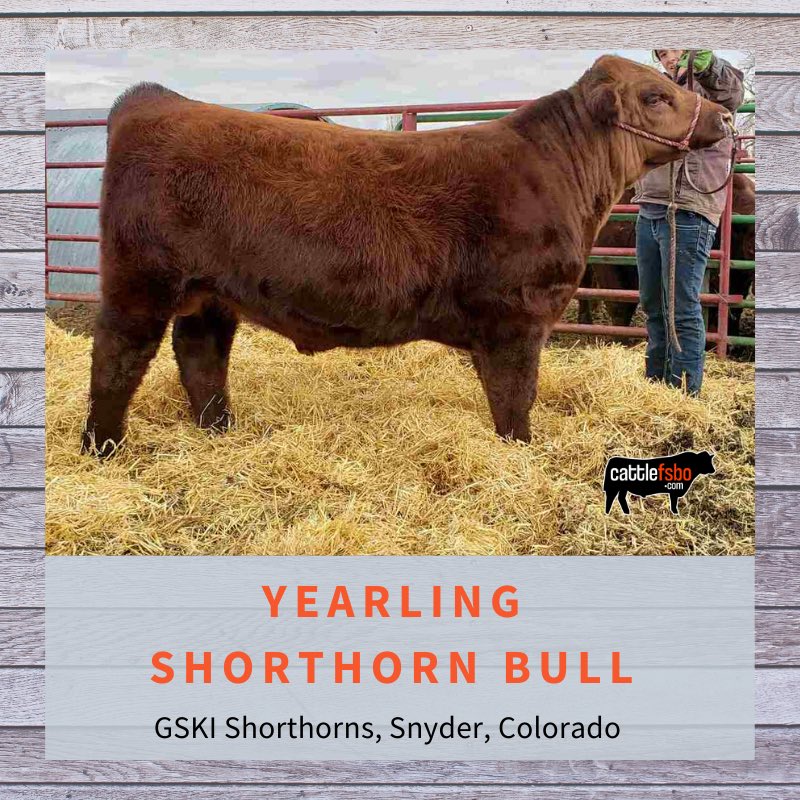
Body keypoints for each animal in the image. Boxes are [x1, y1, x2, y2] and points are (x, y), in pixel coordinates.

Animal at [82, 55, 731, 456]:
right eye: (656, 95)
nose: (724, 115)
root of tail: (154, 101)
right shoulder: (517, 316)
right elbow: (515, 396)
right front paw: (519, 450)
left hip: (210, 292)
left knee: (201, 357)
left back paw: (218, 432)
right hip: (139, 281)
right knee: (117, 359)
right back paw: (102, 448)